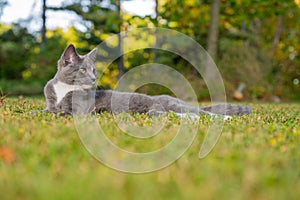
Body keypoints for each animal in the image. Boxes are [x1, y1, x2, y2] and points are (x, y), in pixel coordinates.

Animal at [31, 44, 251, 117]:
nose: (93, 78)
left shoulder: (78, 111)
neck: (64, 88)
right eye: (83, 69)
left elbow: (60, 113)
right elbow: (47, 109)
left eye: (94, 70)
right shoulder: (51, 101)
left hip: (173, 104)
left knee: (204, 114)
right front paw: (34, 112)